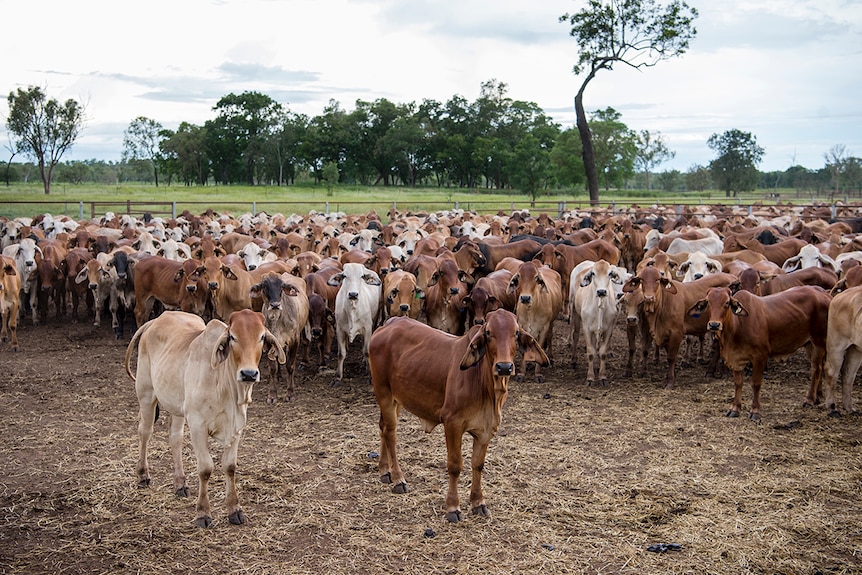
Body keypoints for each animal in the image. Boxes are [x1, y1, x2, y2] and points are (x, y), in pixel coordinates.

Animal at [370, 312, 548, 524]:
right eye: (488, 332)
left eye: (517, 333)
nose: (504, 367)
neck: (486, 386)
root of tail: (388, 325)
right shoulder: (452, 424)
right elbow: (455, 465)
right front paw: (453, 507)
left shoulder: (486, 429)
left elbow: (478, 465)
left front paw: (478, 503)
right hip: (384, 393)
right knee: (390, 433)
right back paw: (398, 479)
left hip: (398, 398)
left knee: (383, 428)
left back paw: (384, 470)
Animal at [688, 286, 832, 420]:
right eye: (708, 302)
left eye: (727, 303)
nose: (714, 325)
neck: (738, 326)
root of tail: (824, 294)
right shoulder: (736, 359)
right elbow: (738, 383)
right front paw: (735, 408)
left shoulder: (760, 357)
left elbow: (755, 384)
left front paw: (755, 411)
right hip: (809, 344)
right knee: (817, 368)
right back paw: (817, 397)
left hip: (819, 342)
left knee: (817, 369)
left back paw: (809, 400)